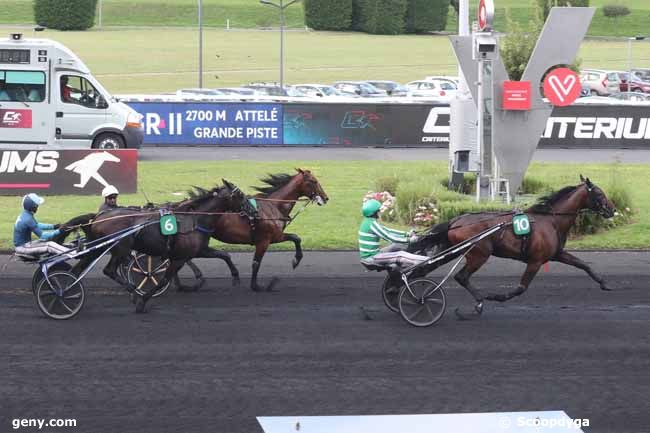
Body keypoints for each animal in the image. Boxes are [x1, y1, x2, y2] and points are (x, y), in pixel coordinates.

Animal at [58, 179, 253, 310]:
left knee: (77, 269)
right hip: (120, 248)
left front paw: (235, 277)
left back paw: (66, 290)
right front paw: (143, 300)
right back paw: (133, 292)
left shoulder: (198, 250)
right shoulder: (180, 257)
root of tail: (97, 218)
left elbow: (224, 255)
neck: (194, 218)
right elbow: (164, 279)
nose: (252, 209)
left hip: (101, 248)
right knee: (109, 270)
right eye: (240, 194)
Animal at [412, 176, 616, 318]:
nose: (612, 210)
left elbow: (583, 264)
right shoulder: (536, 261)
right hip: (479, 254)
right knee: (461, 277)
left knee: (427, 268)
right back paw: (479, 302)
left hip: (454, 251)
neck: (551, 221)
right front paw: (496, 297)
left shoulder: (557, 254)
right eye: (599, 193)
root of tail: (456, 221)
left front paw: (604, 283)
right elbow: (521, 288)